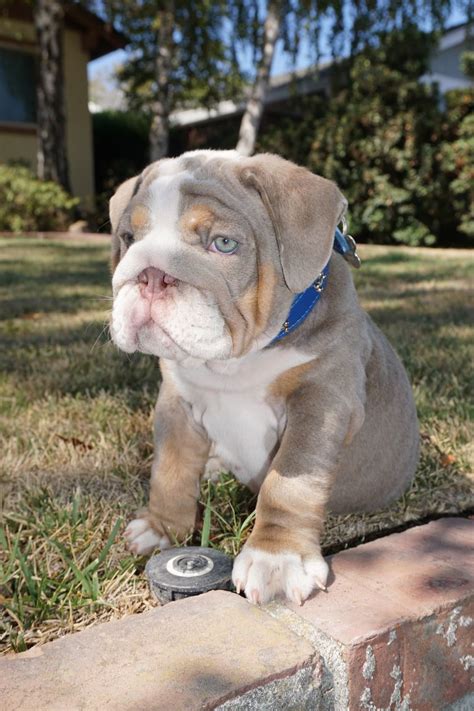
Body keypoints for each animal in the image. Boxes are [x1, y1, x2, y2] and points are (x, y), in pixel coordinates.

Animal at [108, 150, 418, 608]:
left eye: (223, 243)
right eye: (129, 238)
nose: (150, 274)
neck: (236, 362)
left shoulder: (321, 402)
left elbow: (290, 482)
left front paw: (277, 558)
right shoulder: (176, 403)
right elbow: (171, 469)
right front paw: (161, 528)